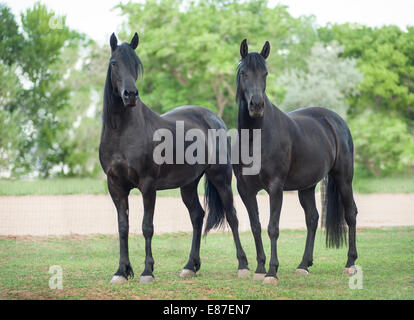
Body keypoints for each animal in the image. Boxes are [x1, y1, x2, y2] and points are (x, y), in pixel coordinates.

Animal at [99, 31, 249, 282]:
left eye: (136, 65)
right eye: (113, 63)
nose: (130, 95)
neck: (122, 133)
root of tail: (213, 117)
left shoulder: (147, 186)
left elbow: (147, 227)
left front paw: (147, 271)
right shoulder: (115, 186)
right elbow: (123, 227)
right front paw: (121, 271)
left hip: (221, 178)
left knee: (232, 216)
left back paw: (243, 266)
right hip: (188, 184)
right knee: (197, 216)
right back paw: (190, 266)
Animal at [233, 40, 360, 284]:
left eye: (265, 73)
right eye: (243, 73)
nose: (257, 105)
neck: (255, 137)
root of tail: (335, 120)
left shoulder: (275, 188)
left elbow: (273, 228)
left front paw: (272, 272)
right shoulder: (245, 189)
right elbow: (256, 226)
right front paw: (260, 268)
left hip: (343, 179)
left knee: (351, 214)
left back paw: (350, 264)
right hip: (307, 186)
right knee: (312, 218)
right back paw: (303, 265)